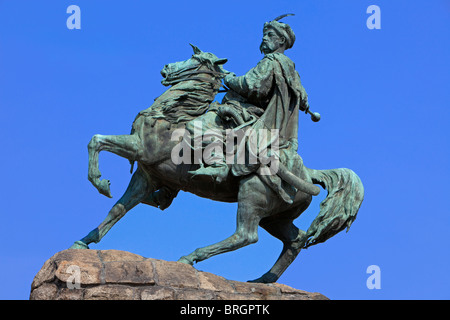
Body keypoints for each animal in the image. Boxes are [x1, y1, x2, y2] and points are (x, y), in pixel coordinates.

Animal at [71, 44, 366, 282]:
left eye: (194, 58)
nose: (166, 68)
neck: (174, 115)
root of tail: (308, 173)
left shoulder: (141, 149)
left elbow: (96, 141)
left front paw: (100, 182)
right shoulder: (147, 176)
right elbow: (119, 209)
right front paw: (84, 241)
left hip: (252, 195)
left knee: (246, 235)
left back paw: (191, 257)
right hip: (275, 216)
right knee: (296, 240)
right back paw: (263, 280)